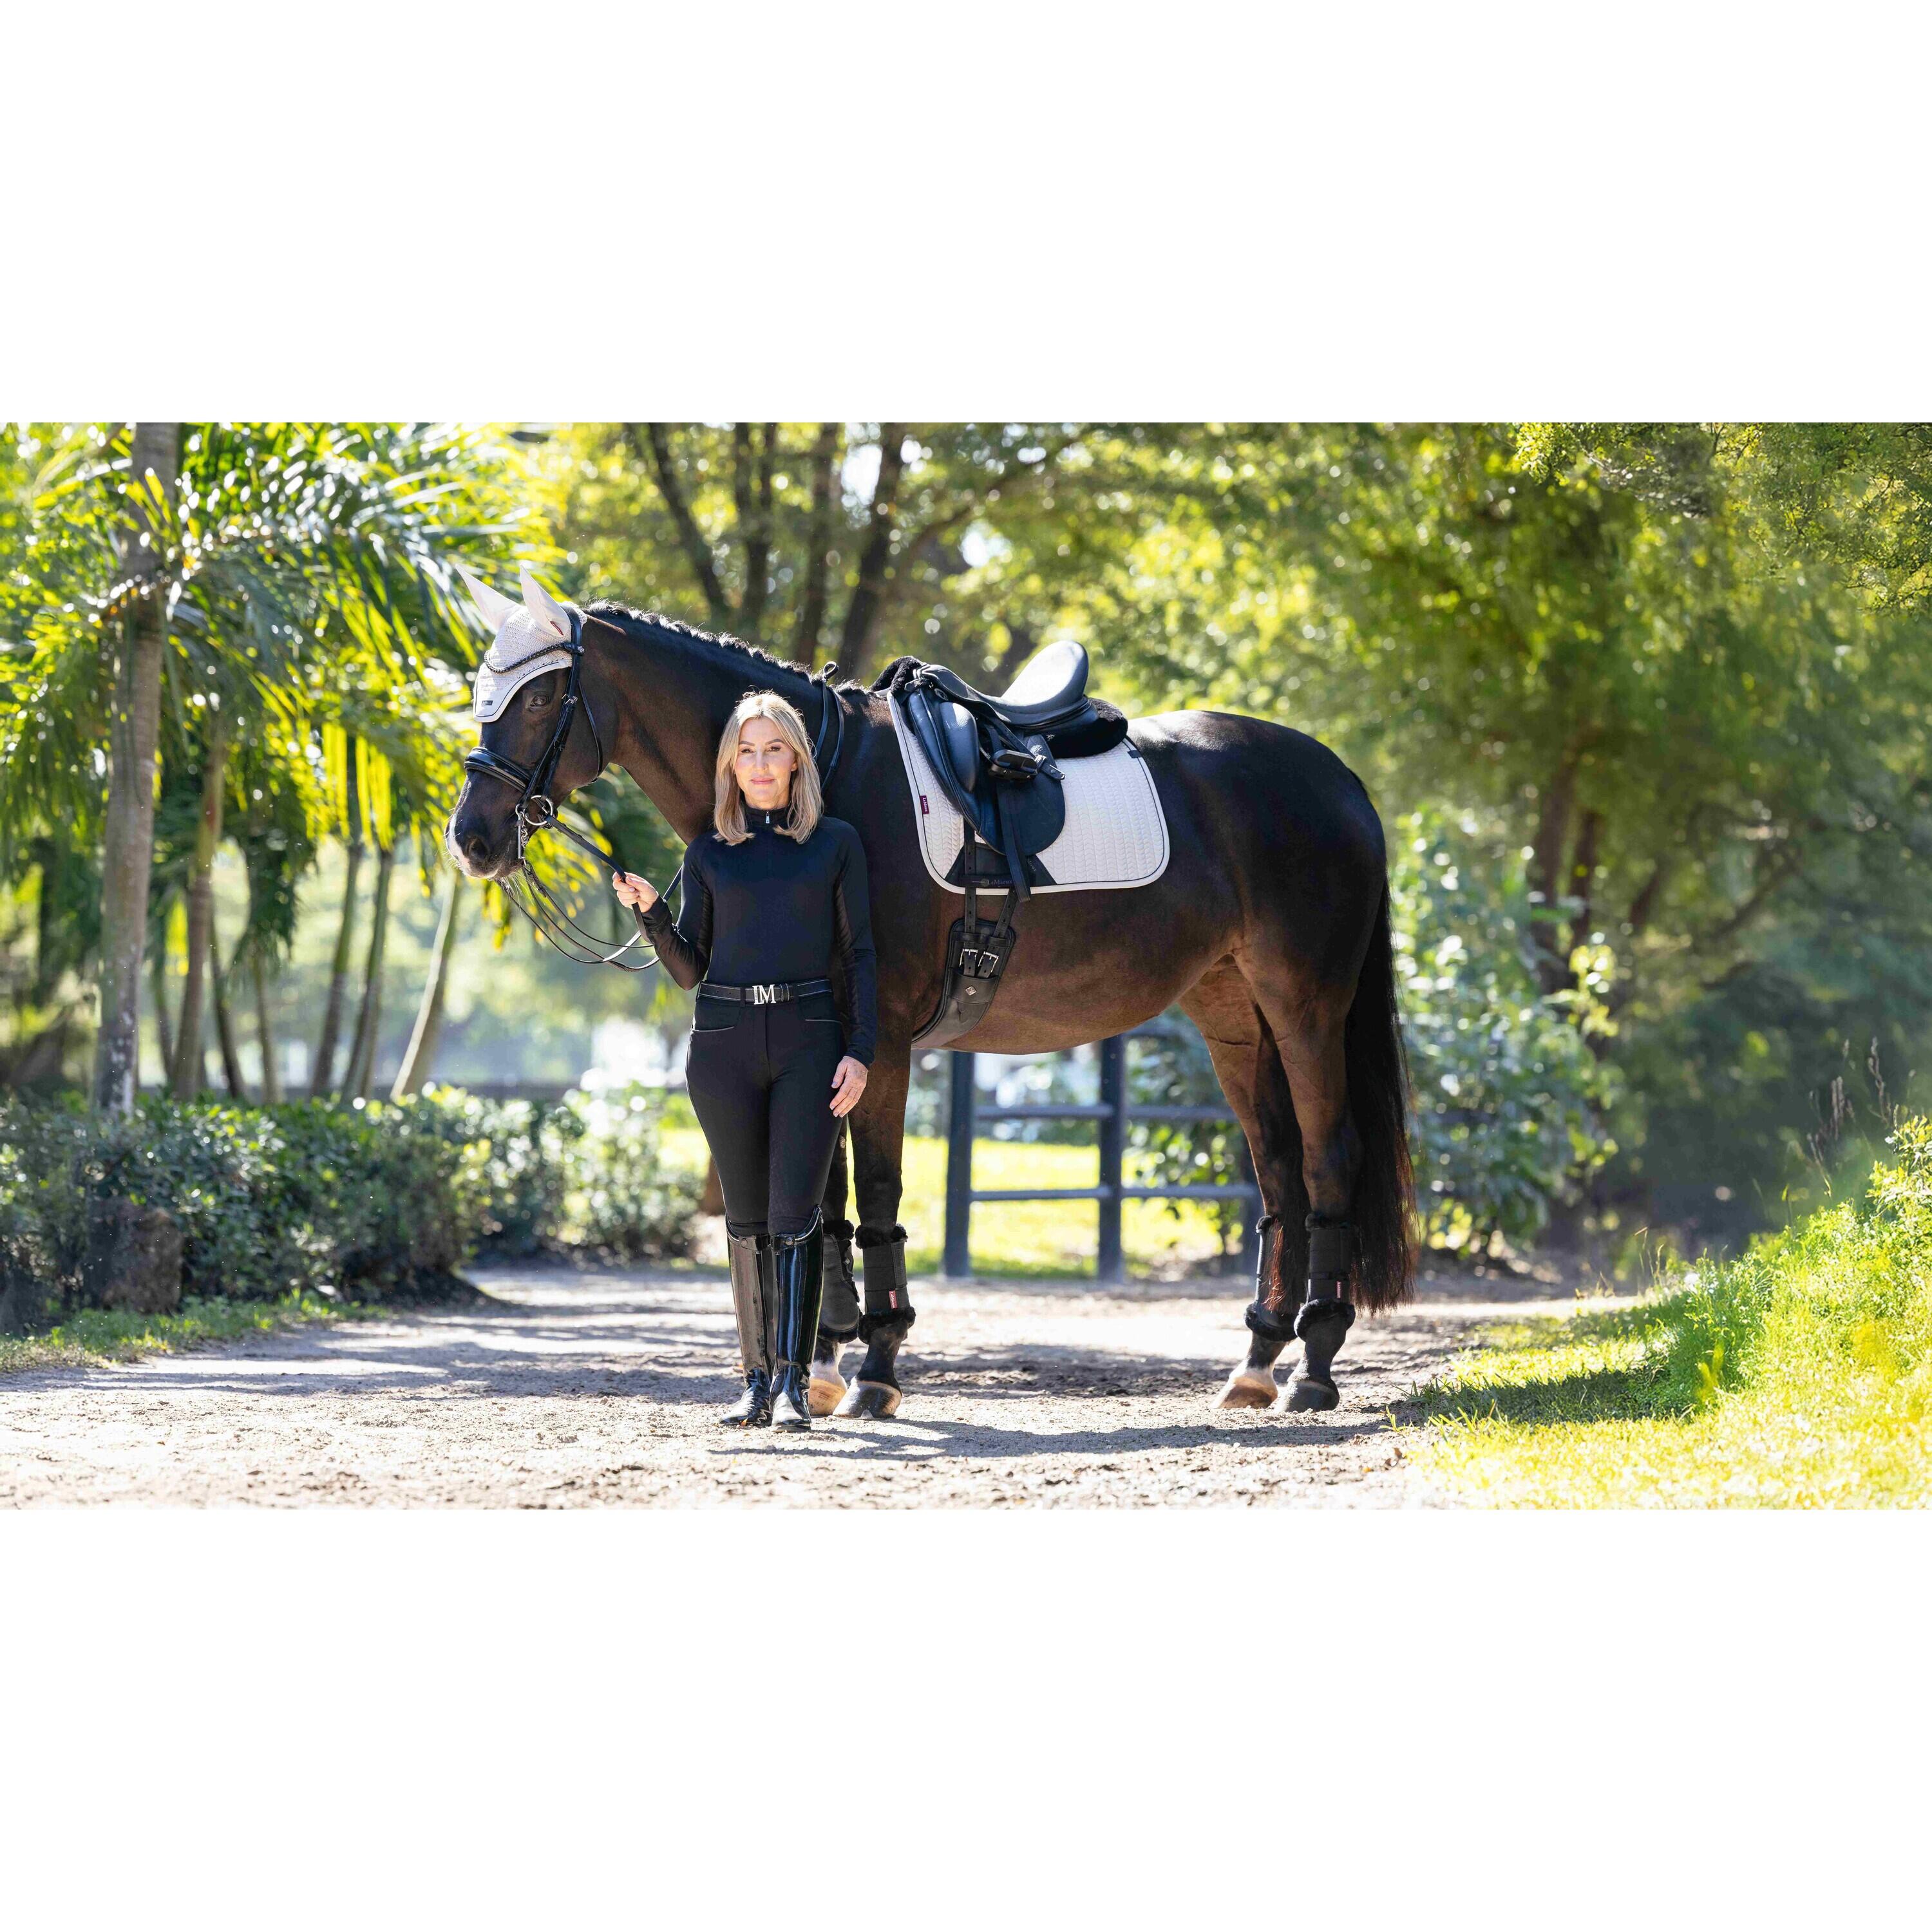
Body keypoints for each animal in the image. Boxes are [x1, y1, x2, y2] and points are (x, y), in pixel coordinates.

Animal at [446, 568, 1414, 1417]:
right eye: (484, 692)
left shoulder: (877, 1045)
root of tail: (1339, 779)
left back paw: (1314, 1369)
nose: (472, 839)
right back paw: (1255, 1363)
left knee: (1328, 1159)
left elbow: (875, 1199)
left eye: (540, 699)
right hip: (1232, 1015)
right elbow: (821, 1205)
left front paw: (875, 1370)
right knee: (1278, 1172)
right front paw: (823, 1364)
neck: (822, 784)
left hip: (1305, 1009)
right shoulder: (826, 1041)